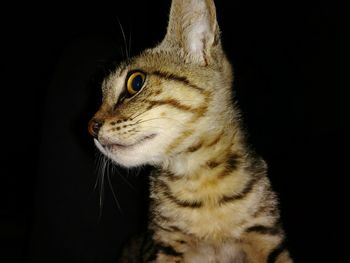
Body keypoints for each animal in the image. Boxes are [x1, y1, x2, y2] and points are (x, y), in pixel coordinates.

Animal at [87, 0, 292, 263]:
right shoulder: (164, 247)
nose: (91, 127)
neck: (200, 179)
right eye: (101, 94)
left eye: (136, 82)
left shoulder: (267, 237)